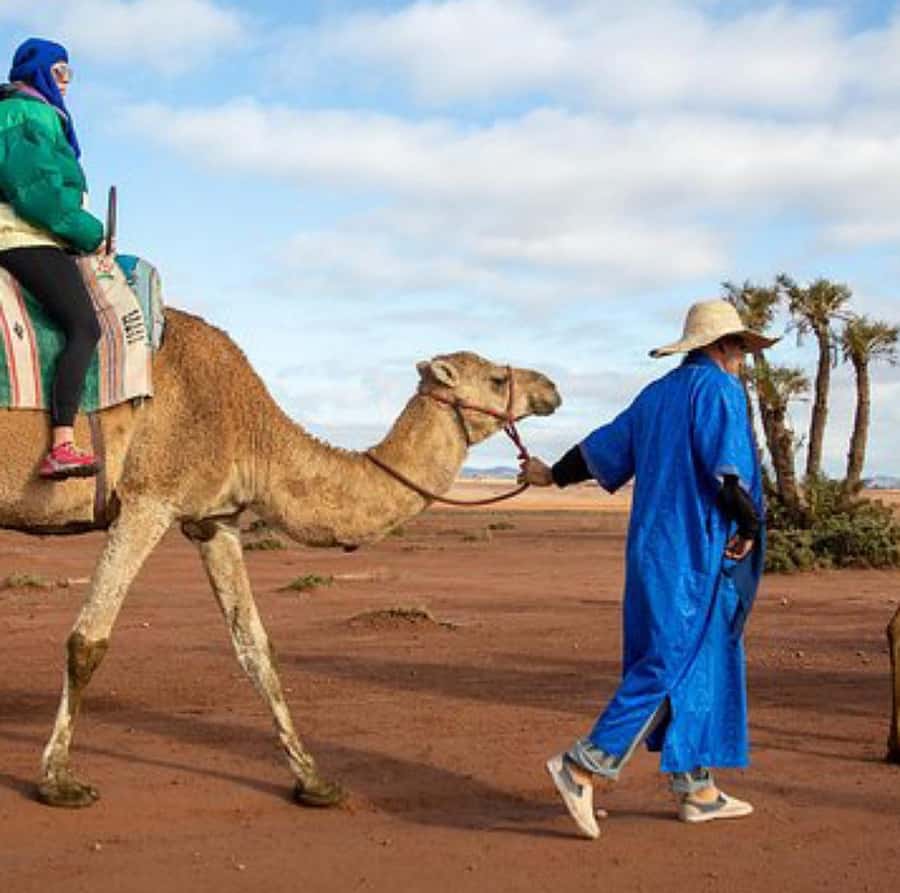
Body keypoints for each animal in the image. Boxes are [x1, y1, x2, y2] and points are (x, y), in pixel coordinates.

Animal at [0, 308, 561, 808]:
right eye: (496, 379)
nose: (551, 387)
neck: (248, 427)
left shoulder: (215, 519)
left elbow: (255, 647)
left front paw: (315, 781)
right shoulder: (148, 499)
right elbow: (87, 641)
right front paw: (58, 781)